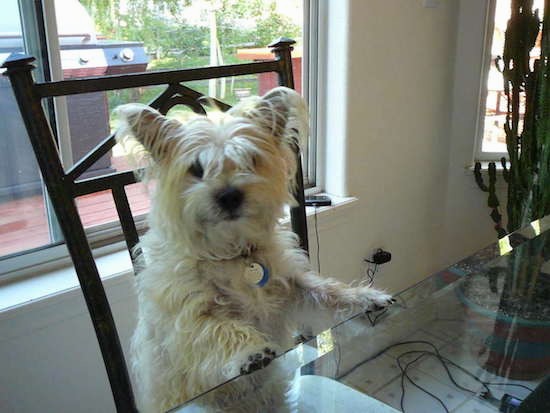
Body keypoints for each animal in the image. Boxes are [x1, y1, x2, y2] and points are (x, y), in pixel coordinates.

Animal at [116, 87, 394, 412]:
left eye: (250, 159)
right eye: (197, 168)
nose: (229, 195)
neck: (232, 251)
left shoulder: (294, 287)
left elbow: (329, 291)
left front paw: (367, 297)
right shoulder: (186, 319)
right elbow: (218, 328)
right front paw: (251, 351)